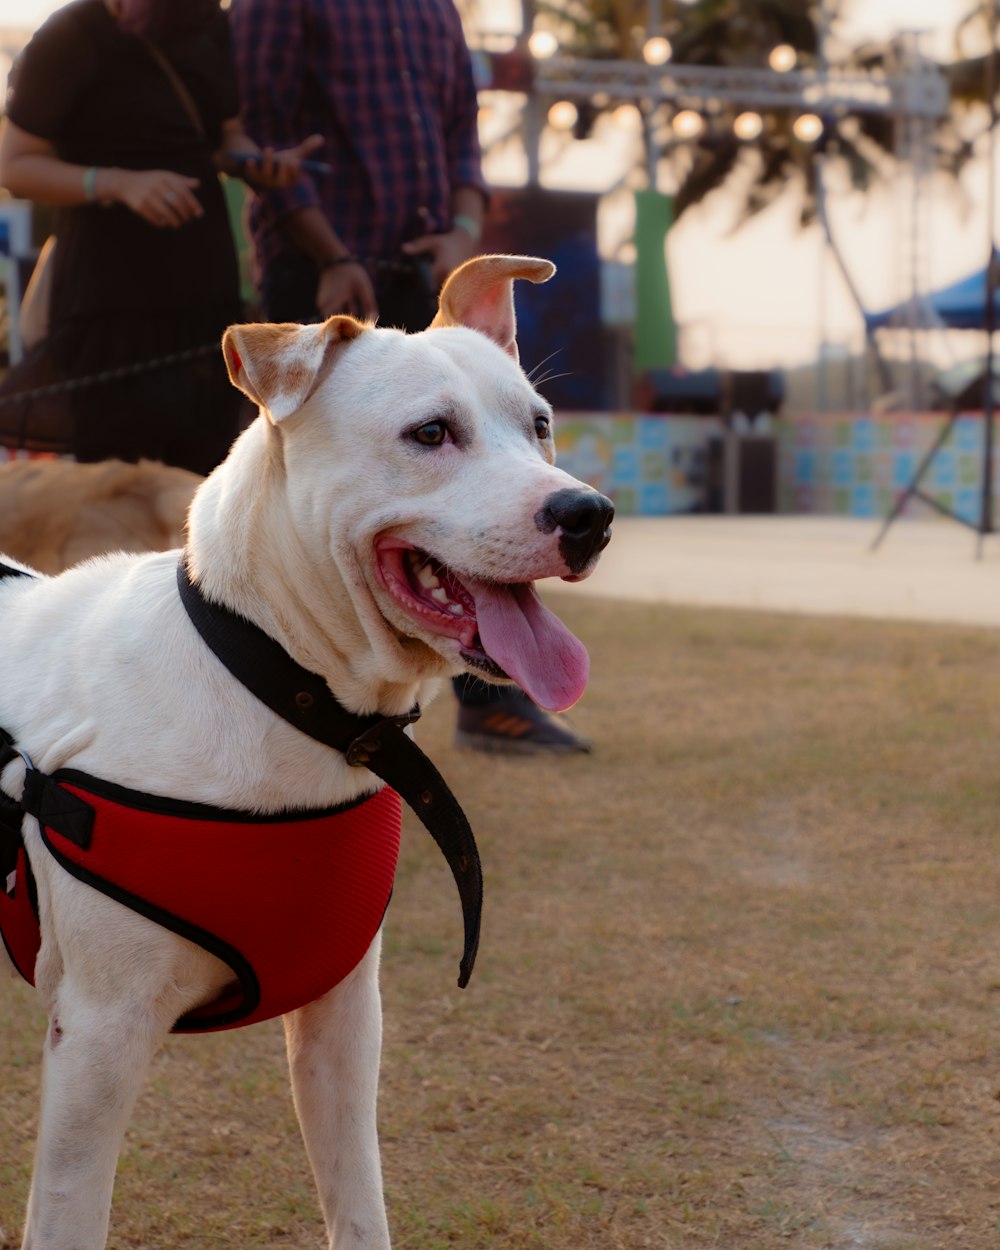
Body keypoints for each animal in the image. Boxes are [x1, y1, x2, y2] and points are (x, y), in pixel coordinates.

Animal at [0, 253, 610, 1250]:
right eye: (431, 432)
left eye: (540, 426)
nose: (589, 514)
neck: (285, 690)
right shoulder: (96, 1039)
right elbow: (68, 1216)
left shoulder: (344, 1022)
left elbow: (358, 1204)